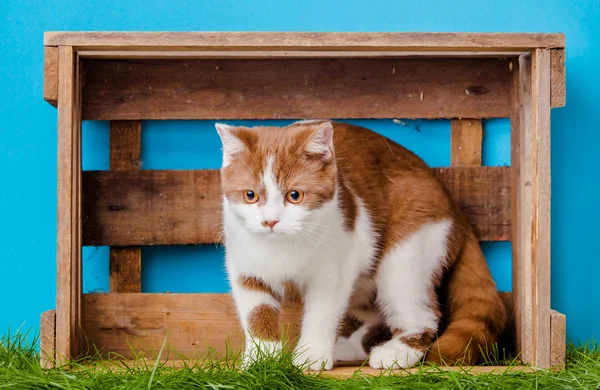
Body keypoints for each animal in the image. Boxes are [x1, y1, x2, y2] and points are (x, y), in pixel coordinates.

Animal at [216, 120, 506, 370]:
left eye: (295, 195)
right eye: (250, 195)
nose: (270, 221)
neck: (282, 246)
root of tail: (454, 205)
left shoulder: (336, 265)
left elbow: (323, 311)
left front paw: (311, 355)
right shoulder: (245, 269)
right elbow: (256, 313)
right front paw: (261, 360)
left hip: (407, 255)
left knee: (422, 312)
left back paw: (396, 352)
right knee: (375, 313)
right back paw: (350, 347)